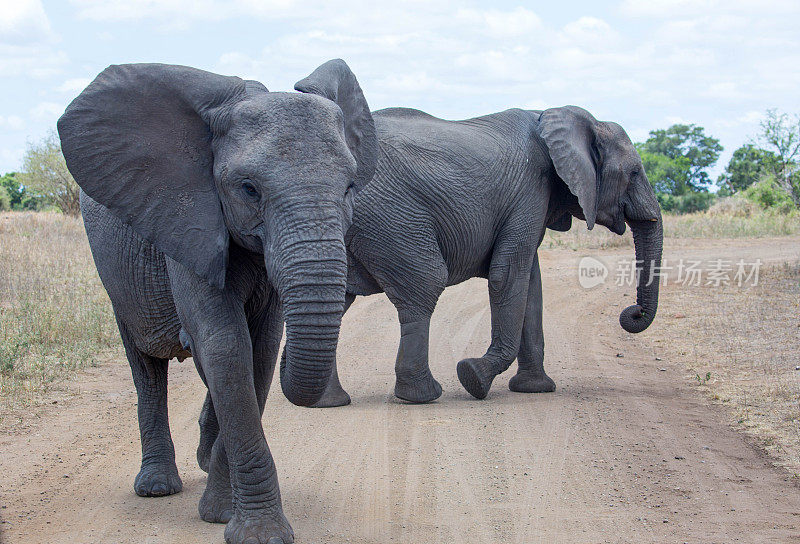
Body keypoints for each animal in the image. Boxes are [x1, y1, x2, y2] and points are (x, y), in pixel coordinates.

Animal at [57, 59, 376, 544]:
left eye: (350, 187)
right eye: (248, 189)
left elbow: (259, 352)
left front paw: (223, 510)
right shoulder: (186, 216)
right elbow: (227, 346)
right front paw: (254, 531)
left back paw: (204, 462)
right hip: (117, 282)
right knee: (146, 366)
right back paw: (157, 486)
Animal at [300, 98, 664, 406]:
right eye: (634, 172)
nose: (632, 313)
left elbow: (531, 283)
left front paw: (534, 389)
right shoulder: (530, 189)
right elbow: (508, 274)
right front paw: (473, 377)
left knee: (336, 300)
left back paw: (327, 402)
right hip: (390, 215)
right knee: (425, 284)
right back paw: (422, 397)